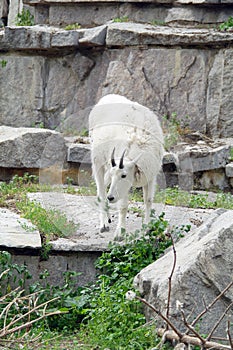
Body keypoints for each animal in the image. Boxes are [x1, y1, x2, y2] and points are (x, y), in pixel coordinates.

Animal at [88, 94, 164, 239]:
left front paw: (147, 227)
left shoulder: (150, 175)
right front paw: (120, 233)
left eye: (123, 175)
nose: (111, 197)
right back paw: (104, 224)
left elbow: (148, 200)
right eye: (115, 175)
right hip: (98, 162)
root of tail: (104, 99)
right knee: (101, 191)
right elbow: (123, 206)